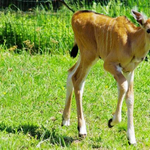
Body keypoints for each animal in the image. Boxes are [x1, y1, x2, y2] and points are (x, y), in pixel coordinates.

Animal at [61, 9, 150, 145]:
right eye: (149, 30)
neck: (131, 41)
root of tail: (76, 15)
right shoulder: (109, 64)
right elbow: (123, 86)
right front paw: (112, 122)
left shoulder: (129, 71)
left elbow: (130, 97)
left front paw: (131, 138)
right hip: (89, 55)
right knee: (77, 80)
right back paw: (82, 129)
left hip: (85, 55)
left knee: (71, 73)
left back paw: (65, 119)